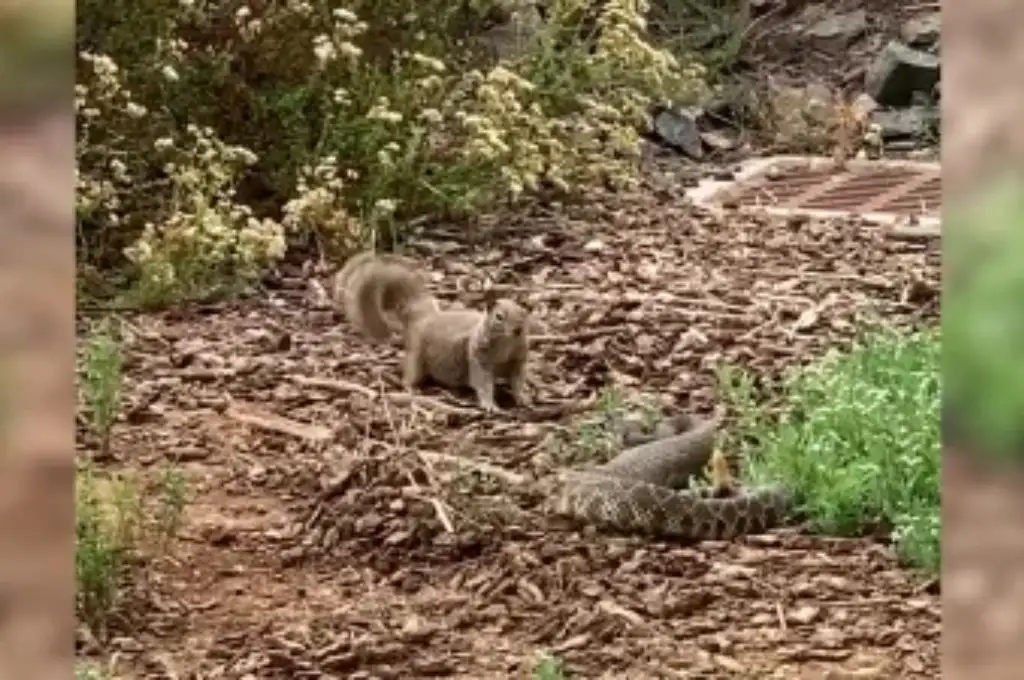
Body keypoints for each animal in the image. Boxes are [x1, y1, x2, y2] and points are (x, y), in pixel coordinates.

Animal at [332, 252, 532, 412]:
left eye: (525, 314)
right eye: (499, 316)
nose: (518, 330)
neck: (506, 344)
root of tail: (423, 318)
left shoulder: (517, 361)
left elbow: (517, 382)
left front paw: (523, 398)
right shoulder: (477, 357)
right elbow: (482, 383)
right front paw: (490, 404)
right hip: (417, 357)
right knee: (410, 373)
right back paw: (411, 389)